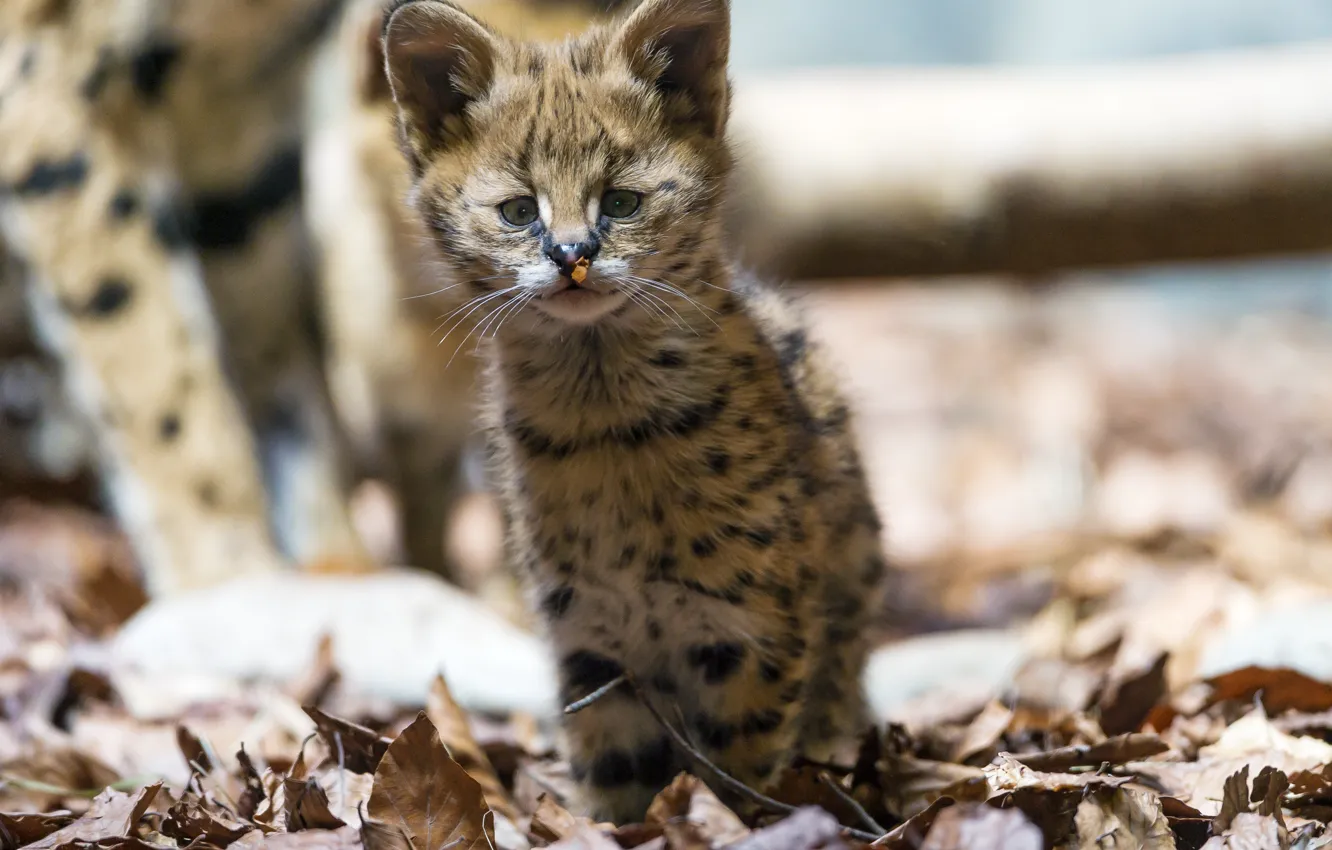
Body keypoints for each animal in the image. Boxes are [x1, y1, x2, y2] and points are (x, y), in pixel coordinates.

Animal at [381, 0, 888, 822]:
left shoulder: (753, 624)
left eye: (622, 201)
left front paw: (738, 825)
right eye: (517, 211)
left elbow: (742, 765)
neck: (605, 422)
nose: (571, 255)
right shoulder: (587, 633)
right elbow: (613, 770)